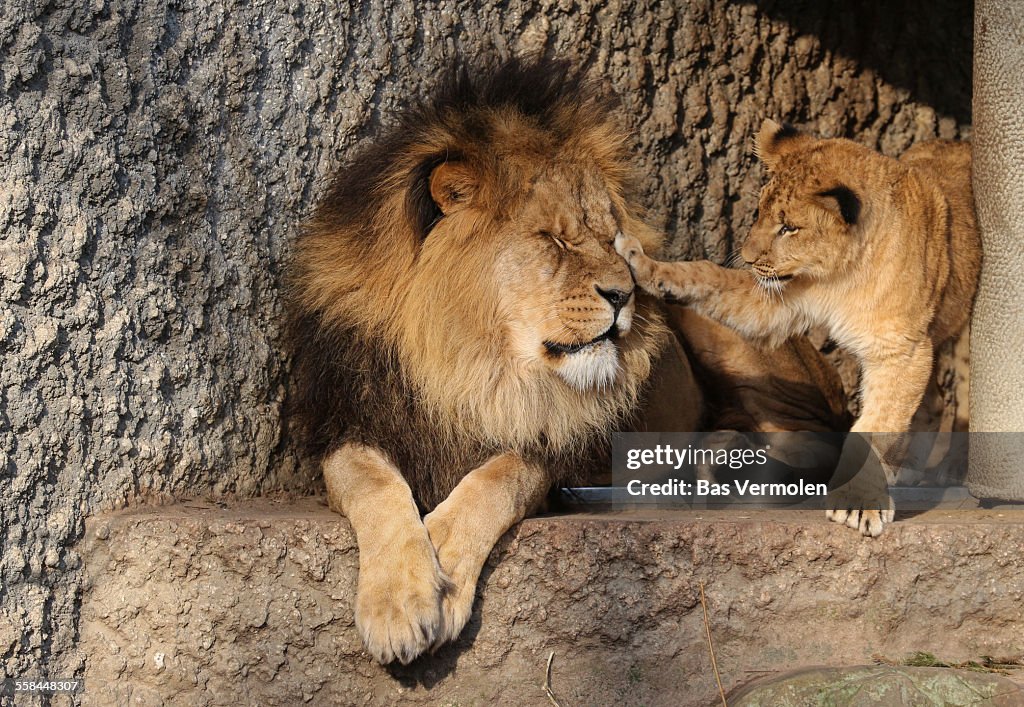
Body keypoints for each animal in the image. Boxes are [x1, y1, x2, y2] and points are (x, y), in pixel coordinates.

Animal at [288, 57, 847, 663]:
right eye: (554, 240)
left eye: (613, 239)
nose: (625, 294)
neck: (472, 364)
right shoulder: (352, 424)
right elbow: (373, 484)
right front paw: (400, 603)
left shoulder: (549, 452)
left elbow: (496, 481)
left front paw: (445, 569)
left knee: (816, 440)